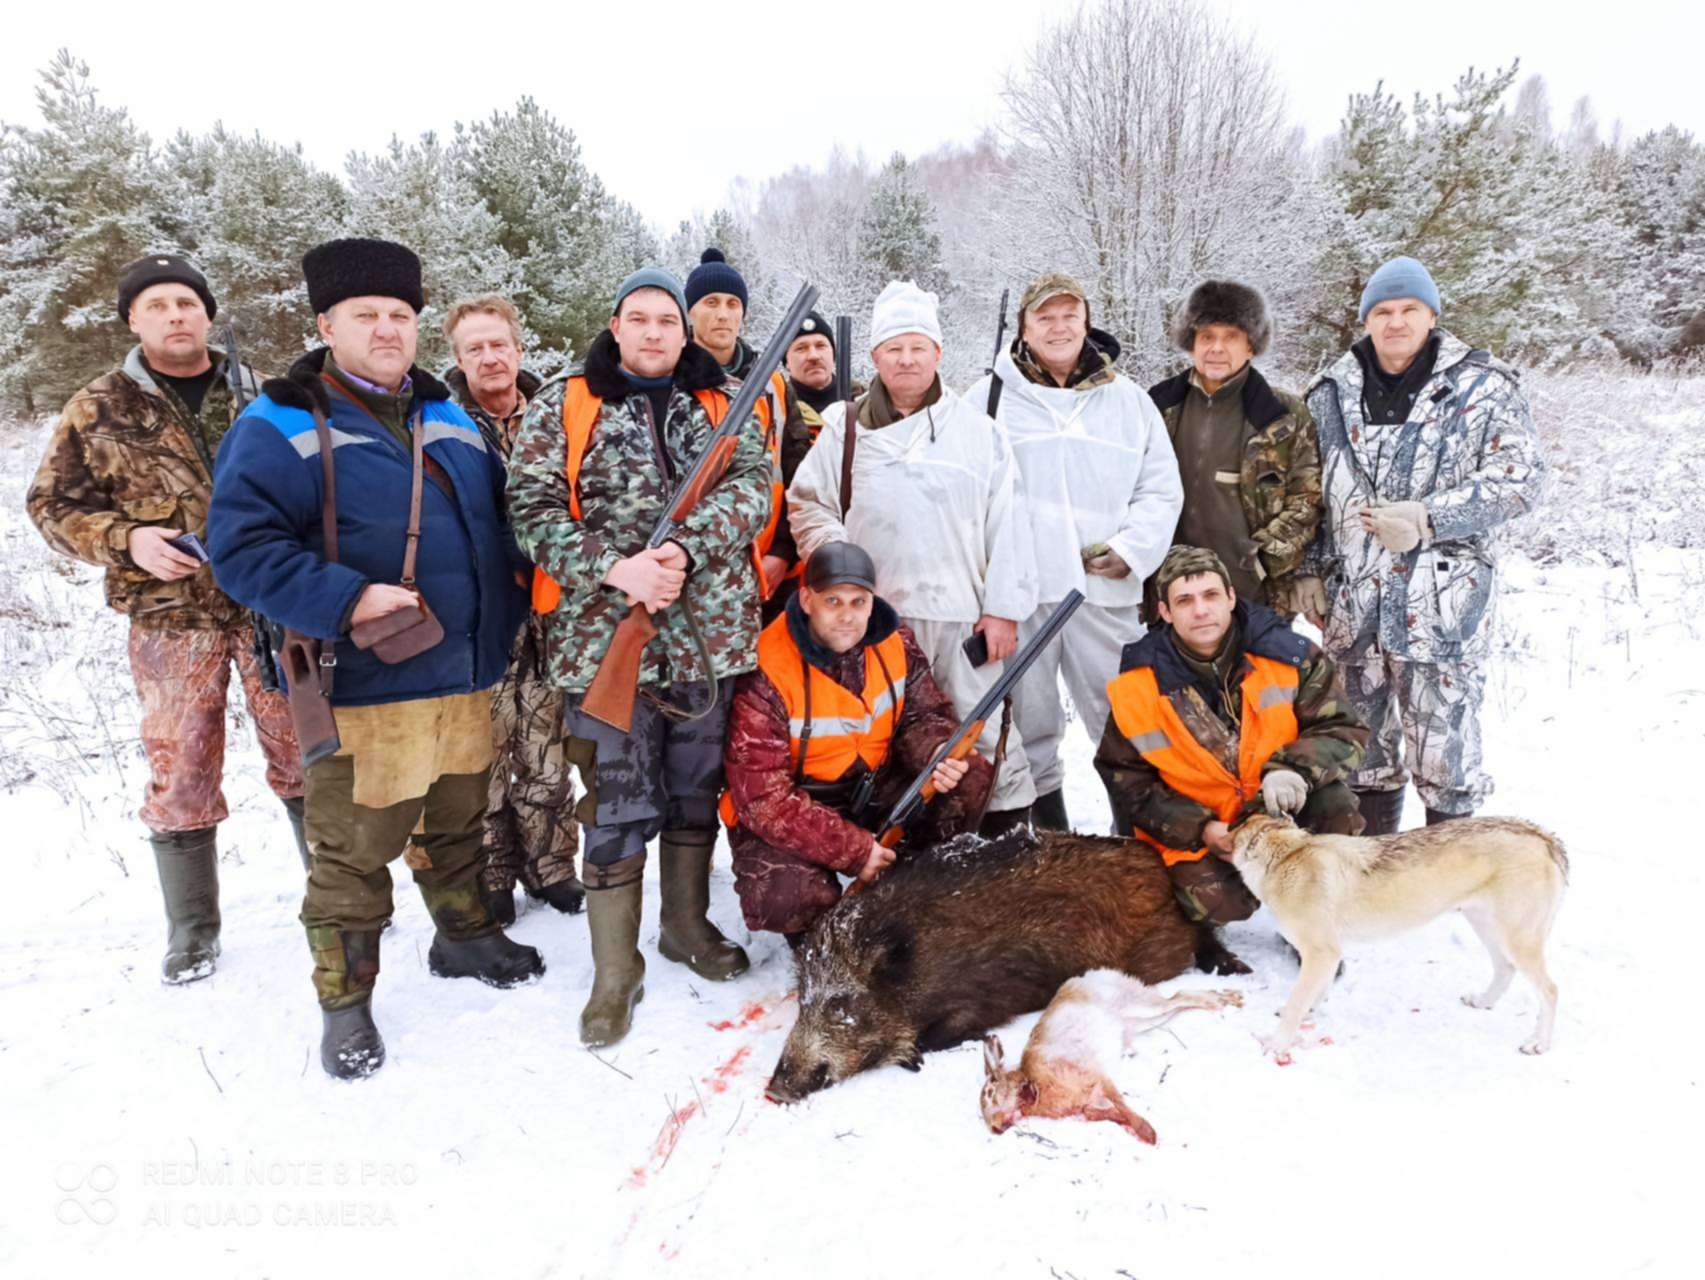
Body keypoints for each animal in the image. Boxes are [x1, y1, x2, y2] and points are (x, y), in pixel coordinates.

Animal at [1227, 821, 1568, 1063]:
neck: (1285, 858)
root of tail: (1543, 836)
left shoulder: (1320, 953)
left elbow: (1297, 1005)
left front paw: (1275, 1045)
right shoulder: (1328, 955)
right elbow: (1316, 995)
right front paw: (1309, 1013)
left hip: (1515, 937)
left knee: (1551, 989)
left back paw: (1538, 1043)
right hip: (1486, 926)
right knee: (1505, 969)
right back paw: (1483, 1002)